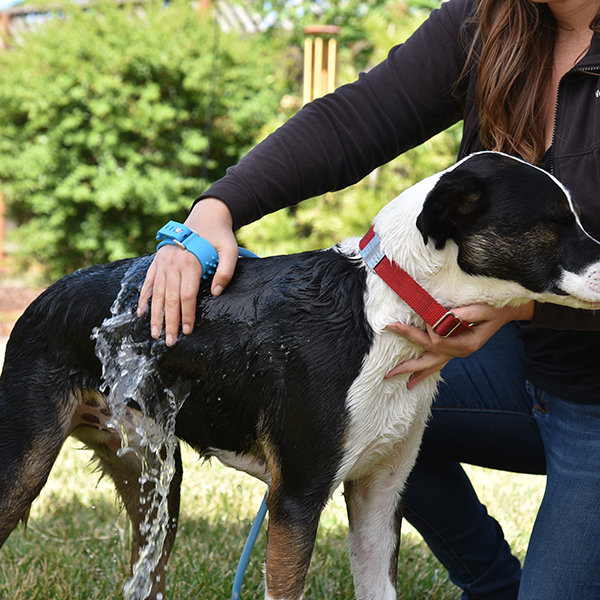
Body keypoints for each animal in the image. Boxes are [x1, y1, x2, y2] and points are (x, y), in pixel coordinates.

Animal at [1, 151, 600, 600]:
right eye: (552, 223)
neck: (382, 310)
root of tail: (46, 295)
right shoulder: (296, 498)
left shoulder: (381, 491)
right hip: (25, 470)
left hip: (154, 481)